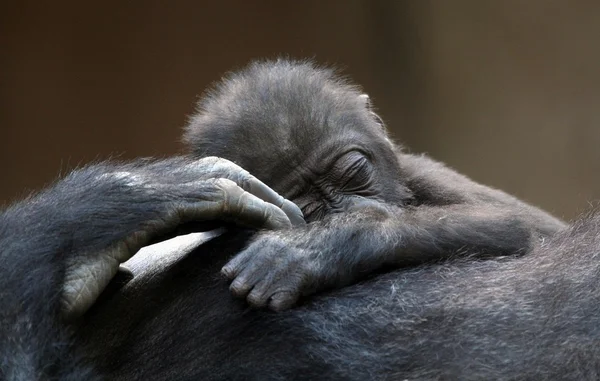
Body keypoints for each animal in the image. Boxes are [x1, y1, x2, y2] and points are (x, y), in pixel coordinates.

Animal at [185, 58, 564, 308]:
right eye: (308, 206)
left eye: (354, 172)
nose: (356, 209)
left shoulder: (426, 173)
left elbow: (517, 225)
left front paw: (319, 246)